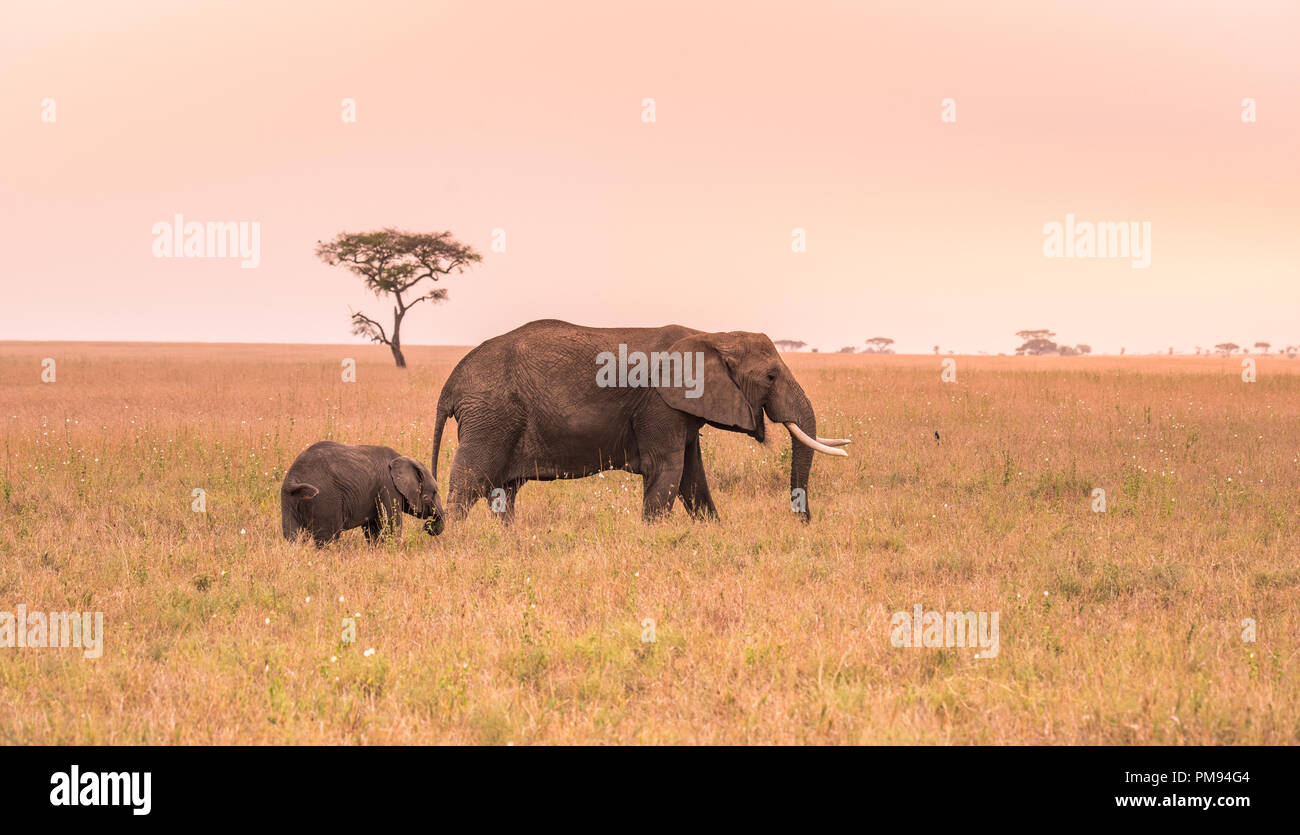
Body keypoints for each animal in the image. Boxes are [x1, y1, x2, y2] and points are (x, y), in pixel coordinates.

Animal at [281, 441, 445, 546]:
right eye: (432, 493)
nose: (427, 526)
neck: (401, 458)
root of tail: (293, 478)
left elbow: (373, 529)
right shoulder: (388, 488)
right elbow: (392, 523)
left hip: (288, 500)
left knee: (292, 537)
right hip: (324, 499)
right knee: (328, 539)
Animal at [430, 319, 849, 523]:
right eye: (771, 377)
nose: (804, 522)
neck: (712, 337)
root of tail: (451, 384)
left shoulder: (681, 408)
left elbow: (692, 478)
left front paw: (713, 534)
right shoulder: (659, 405)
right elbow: (667, 471)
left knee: (504, 492)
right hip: (491, 416)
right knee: (469, 483)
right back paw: (453, 541)